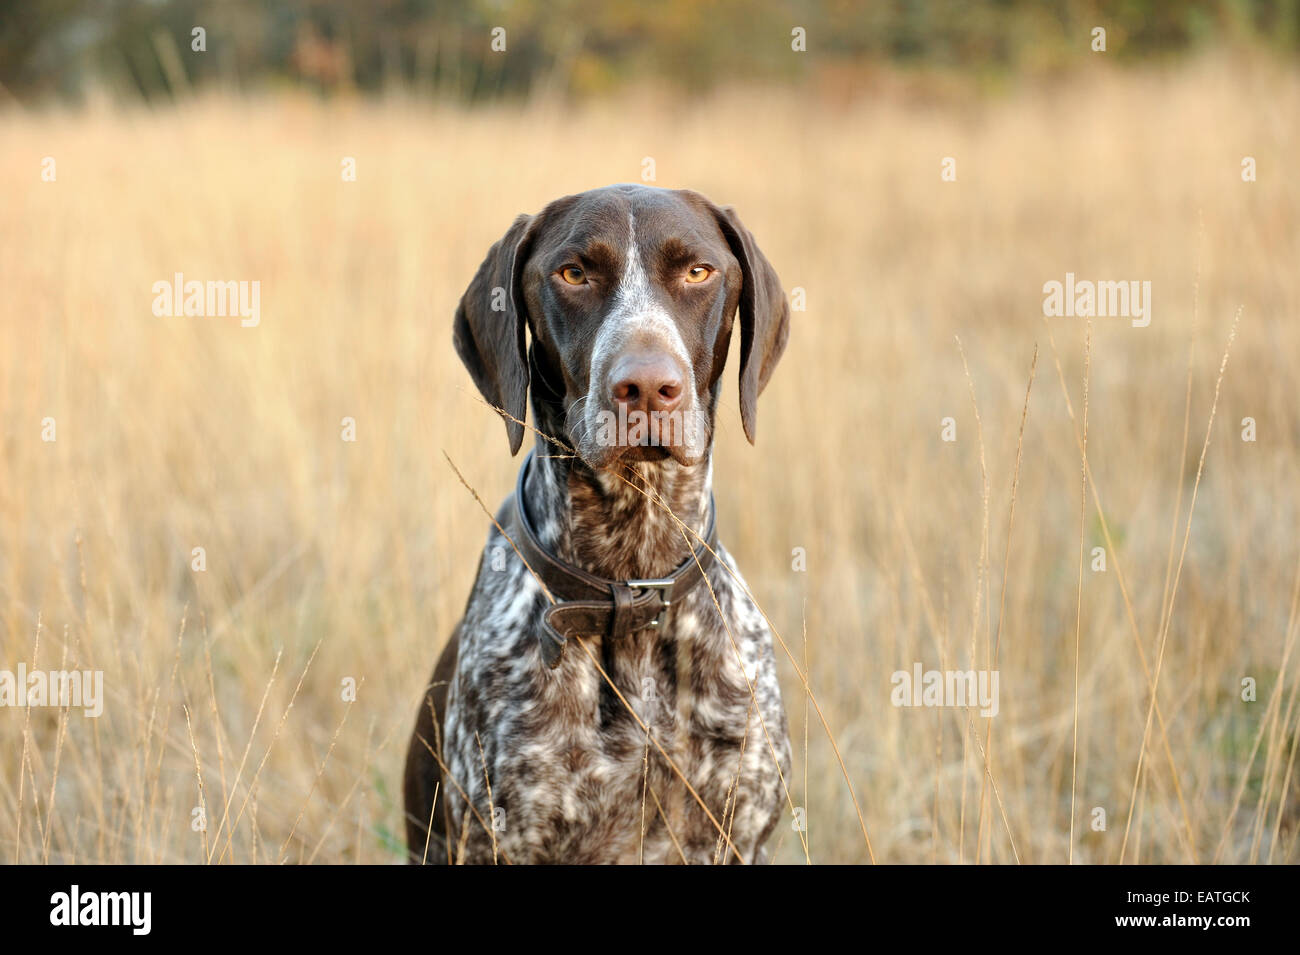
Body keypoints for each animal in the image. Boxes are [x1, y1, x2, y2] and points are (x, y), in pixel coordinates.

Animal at [405, 183, 790, 862]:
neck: (631, 578)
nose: (647, 387)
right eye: (574, 273)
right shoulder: (497, 837)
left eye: (699, 272)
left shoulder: (739, 832)